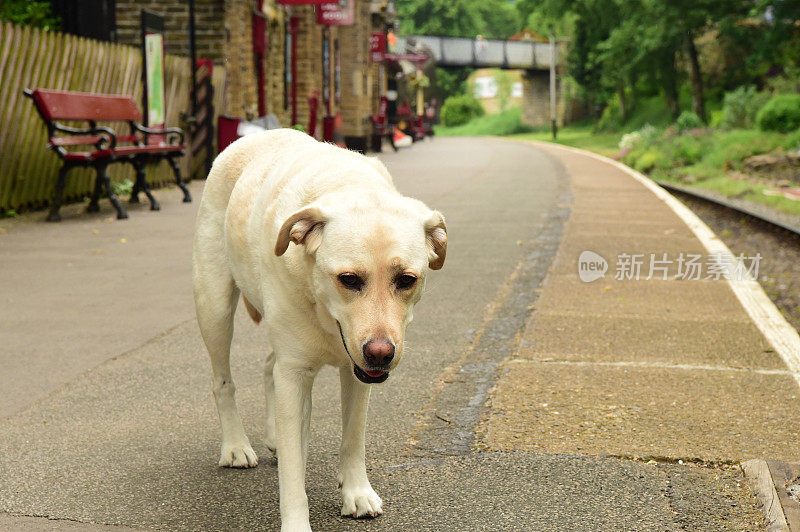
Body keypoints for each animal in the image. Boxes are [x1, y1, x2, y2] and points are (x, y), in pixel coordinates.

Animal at [191, 129, 446, 532]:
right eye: (349, 279)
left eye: (406, 280)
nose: (381, 353)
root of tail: (253, 135)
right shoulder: (295, 374)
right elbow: (294, 471)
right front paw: (296, 523)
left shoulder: (355, 374)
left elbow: (353, 437)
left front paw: (356, 491)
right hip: (214, 304)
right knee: (222, 381)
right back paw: (235, 446)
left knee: (269, 365)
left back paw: (273, 436)